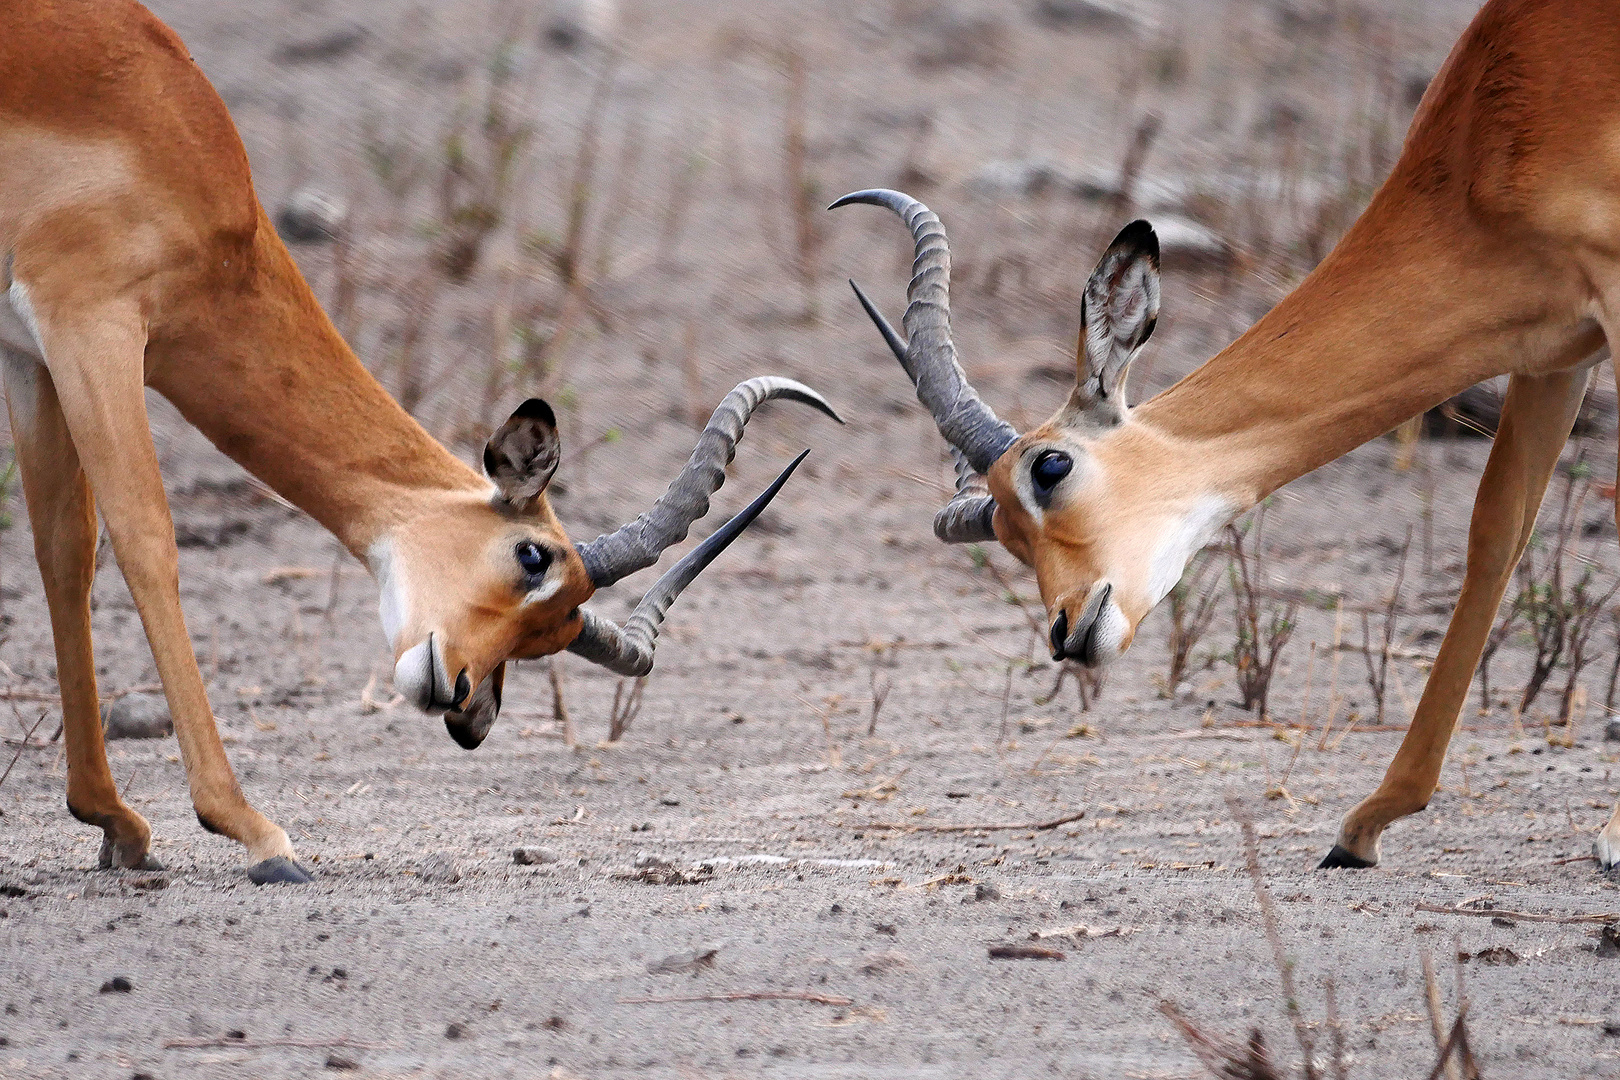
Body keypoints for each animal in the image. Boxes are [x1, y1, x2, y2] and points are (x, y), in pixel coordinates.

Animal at [0, 2, 835, 887]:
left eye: (548, 639)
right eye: (532, 557)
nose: (459, 694)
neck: (161, 119)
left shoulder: (32, 351)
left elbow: (63, 550)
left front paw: (114, 820)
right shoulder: (92, 319)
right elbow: (146, 539)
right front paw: (257, 833)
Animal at [842, 0, 1620, 880]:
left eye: (1050, 467)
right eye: (1005, 538)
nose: (1067, 632)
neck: (1501, 124)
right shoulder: (1557, 351)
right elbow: (1495, 535)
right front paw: (1365, 826)